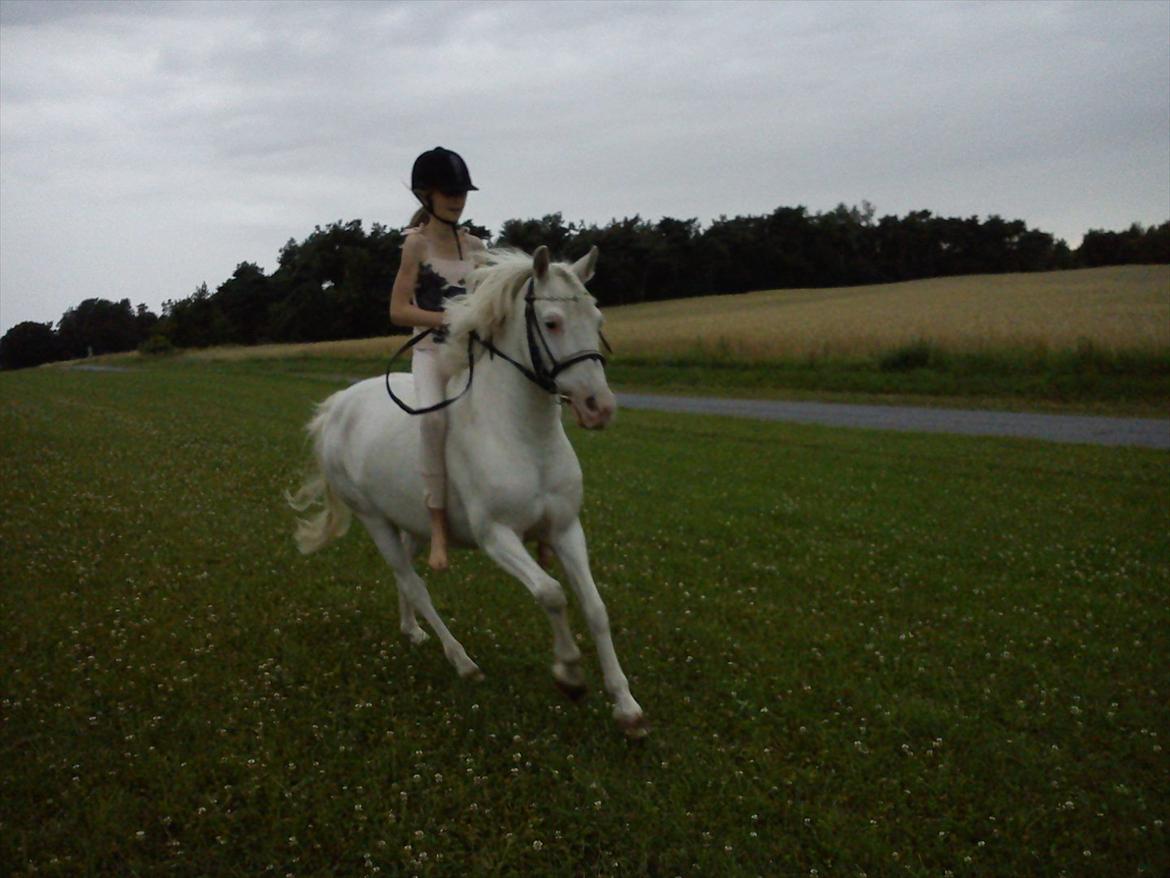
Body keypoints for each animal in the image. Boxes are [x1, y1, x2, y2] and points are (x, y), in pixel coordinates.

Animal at [288, 245, 647, 738]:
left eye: (598, 319)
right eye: (552, 322)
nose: (600, 408)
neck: (523, 437)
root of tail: (337, 407)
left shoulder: (566, 530)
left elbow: (595, 608)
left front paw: (627, 707)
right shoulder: (497, 536)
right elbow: (552, 593)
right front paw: (570, 675)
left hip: (412, 524)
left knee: (406, 577)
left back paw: (412, 631)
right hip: (375, 521)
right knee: (414, 583)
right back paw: (462, 662)